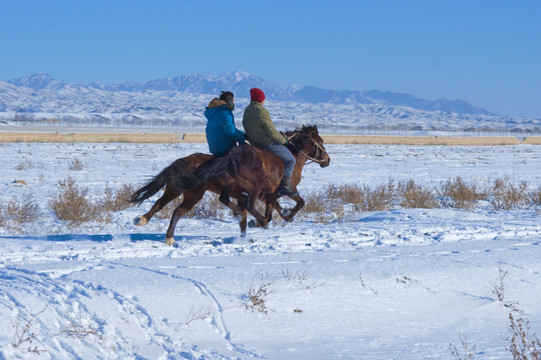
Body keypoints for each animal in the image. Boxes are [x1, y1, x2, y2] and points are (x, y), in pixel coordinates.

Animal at [131, 124, 330, 245]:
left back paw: (147, 224)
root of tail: (183, 161)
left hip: (178, 190)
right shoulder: (282, 190)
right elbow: (297, 202)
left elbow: (259, 214)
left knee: (164, 205)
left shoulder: (264, 195)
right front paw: (281, 217)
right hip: (195, 194)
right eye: (321, 142)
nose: (327, 160)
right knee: (177, 210)